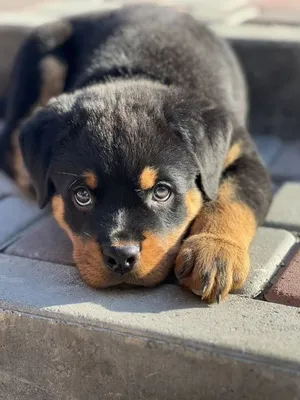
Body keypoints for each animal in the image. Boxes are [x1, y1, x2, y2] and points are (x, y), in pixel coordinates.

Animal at [0, 3, 272, 304]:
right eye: (82, 195)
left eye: (162, 191)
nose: (120, 257)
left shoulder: (242, 153)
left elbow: (232, 199)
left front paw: (215, 251)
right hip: (43, 64)